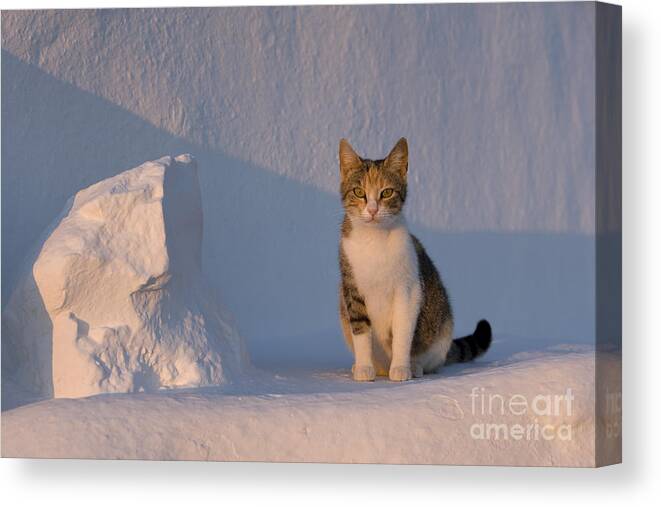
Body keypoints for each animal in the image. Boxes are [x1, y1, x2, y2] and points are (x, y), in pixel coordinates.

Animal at [340, 137, 490, 382]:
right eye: (359, 192)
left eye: (386, 193)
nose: (372, 210)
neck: (375, 240)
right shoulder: (352, 289)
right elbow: (361, 330)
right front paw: (363, 367)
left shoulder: (408, 290)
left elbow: (403, 332)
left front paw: (402, 368)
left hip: (441, 331)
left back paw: (415, 366)